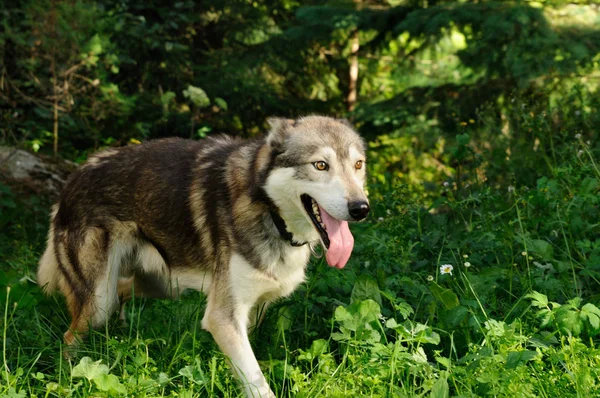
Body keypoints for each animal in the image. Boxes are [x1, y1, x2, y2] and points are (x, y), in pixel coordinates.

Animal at [38, 114, 370, 394]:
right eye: (320, 165)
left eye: (358, 165)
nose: (361, 208)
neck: (270, 213)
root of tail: (71, 178)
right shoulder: (223, 317)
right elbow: (258, 384)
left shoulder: (251, 311)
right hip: (100, 300)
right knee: (70, 337)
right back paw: (67, 381)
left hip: (160, 286)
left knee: (120, 295)